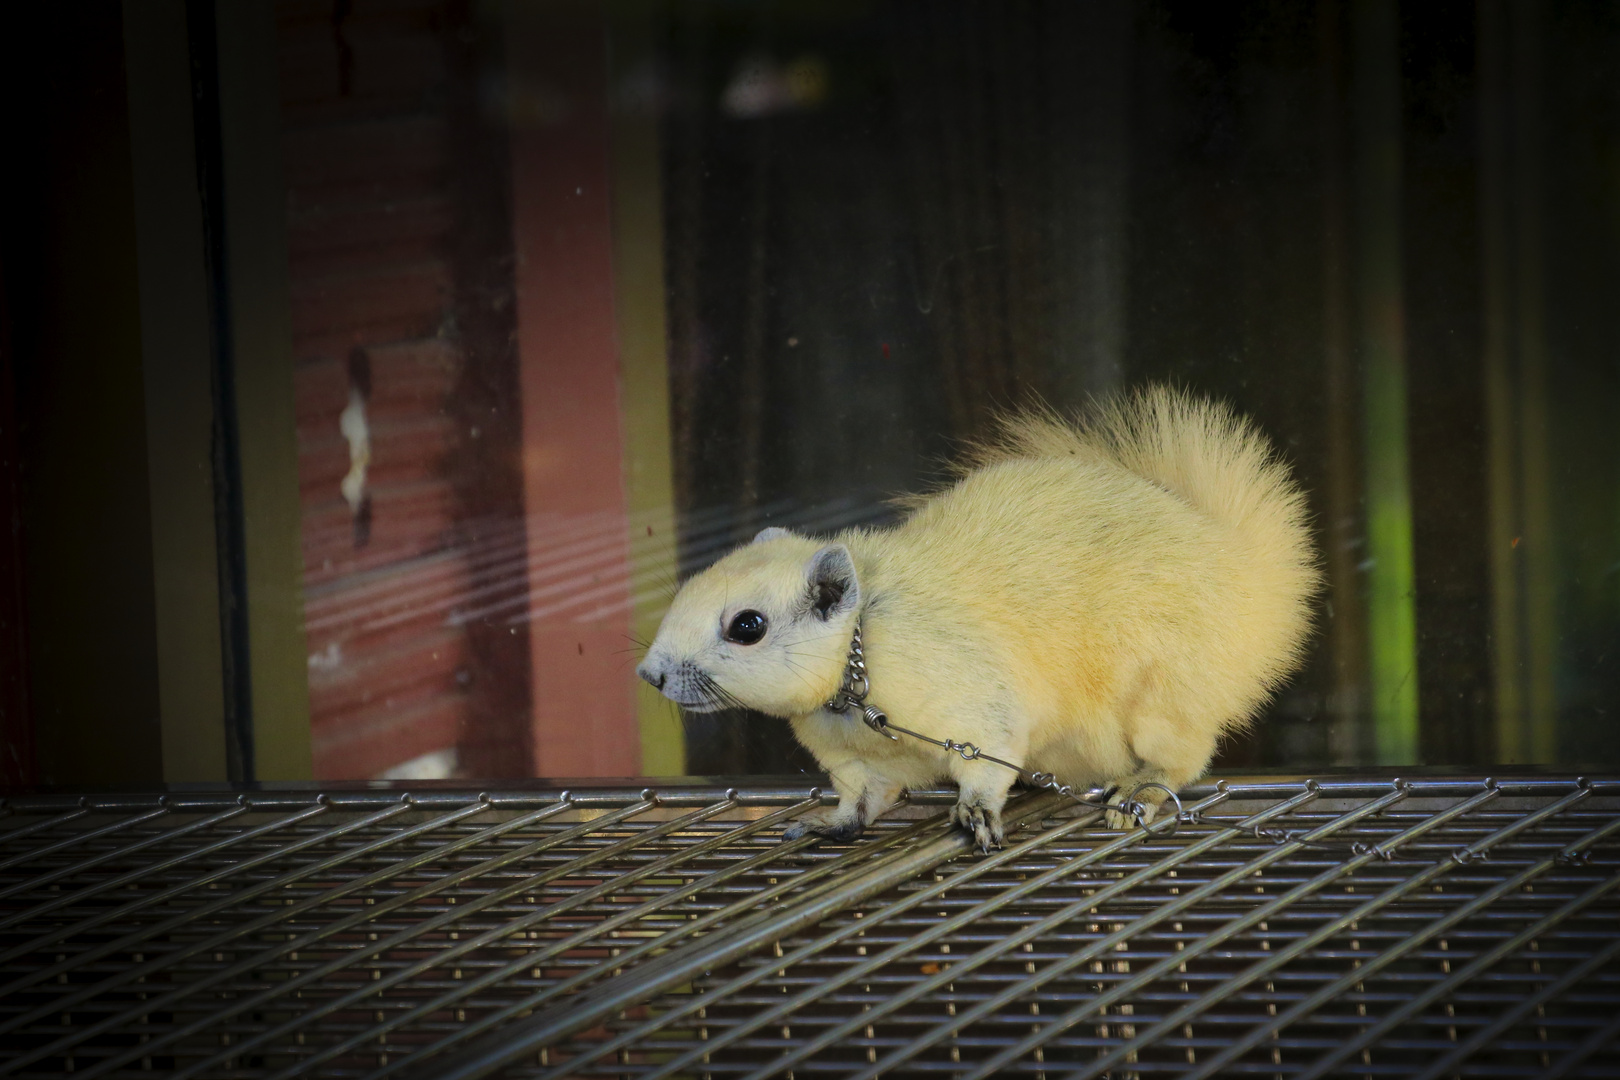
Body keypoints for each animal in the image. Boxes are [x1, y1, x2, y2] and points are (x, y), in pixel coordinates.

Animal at [631, 383, 1315, 848]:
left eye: (747, 626)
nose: (649, 675)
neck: (856, 673)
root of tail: (1246, 586)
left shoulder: (973, 703)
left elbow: (985, 763)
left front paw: (977, 813)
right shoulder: (858, 764)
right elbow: (863, 801)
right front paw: (829, 824)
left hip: (1160, 697)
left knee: (1182, 757)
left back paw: (1138, 792)